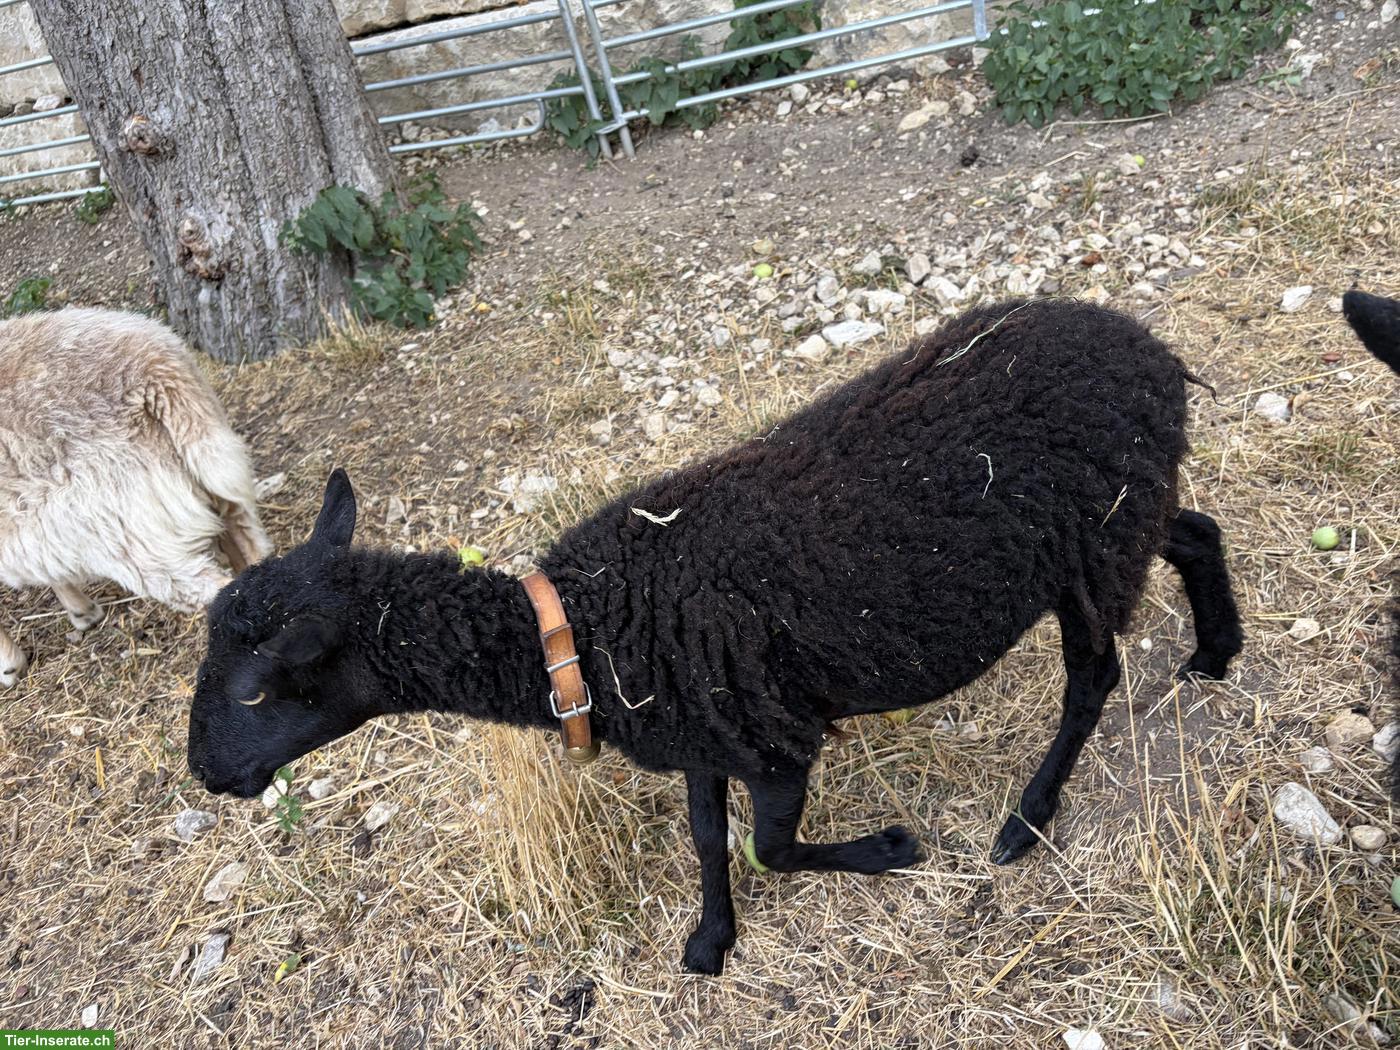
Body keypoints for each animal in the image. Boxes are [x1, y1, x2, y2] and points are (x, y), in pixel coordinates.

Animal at [0, 307, 272, 688]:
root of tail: (155, 373)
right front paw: (82, 612)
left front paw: (8, 666)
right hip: (210, 468)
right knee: (251, 550)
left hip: (135, 537)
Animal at [186, 297, 1243, 975]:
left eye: (255, 687)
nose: (206, 773)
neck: (578, 631)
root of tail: (1152, 351)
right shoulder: (699, 730)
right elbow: (706, 835)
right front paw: (709, 942)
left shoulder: (775, 738)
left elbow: (770, 847)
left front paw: (893, 848)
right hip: (1120, 516)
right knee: (1195, 531)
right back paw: (1216, 650)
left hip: (1096, 541)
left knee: (1093, 674)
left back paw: (1026, 820)